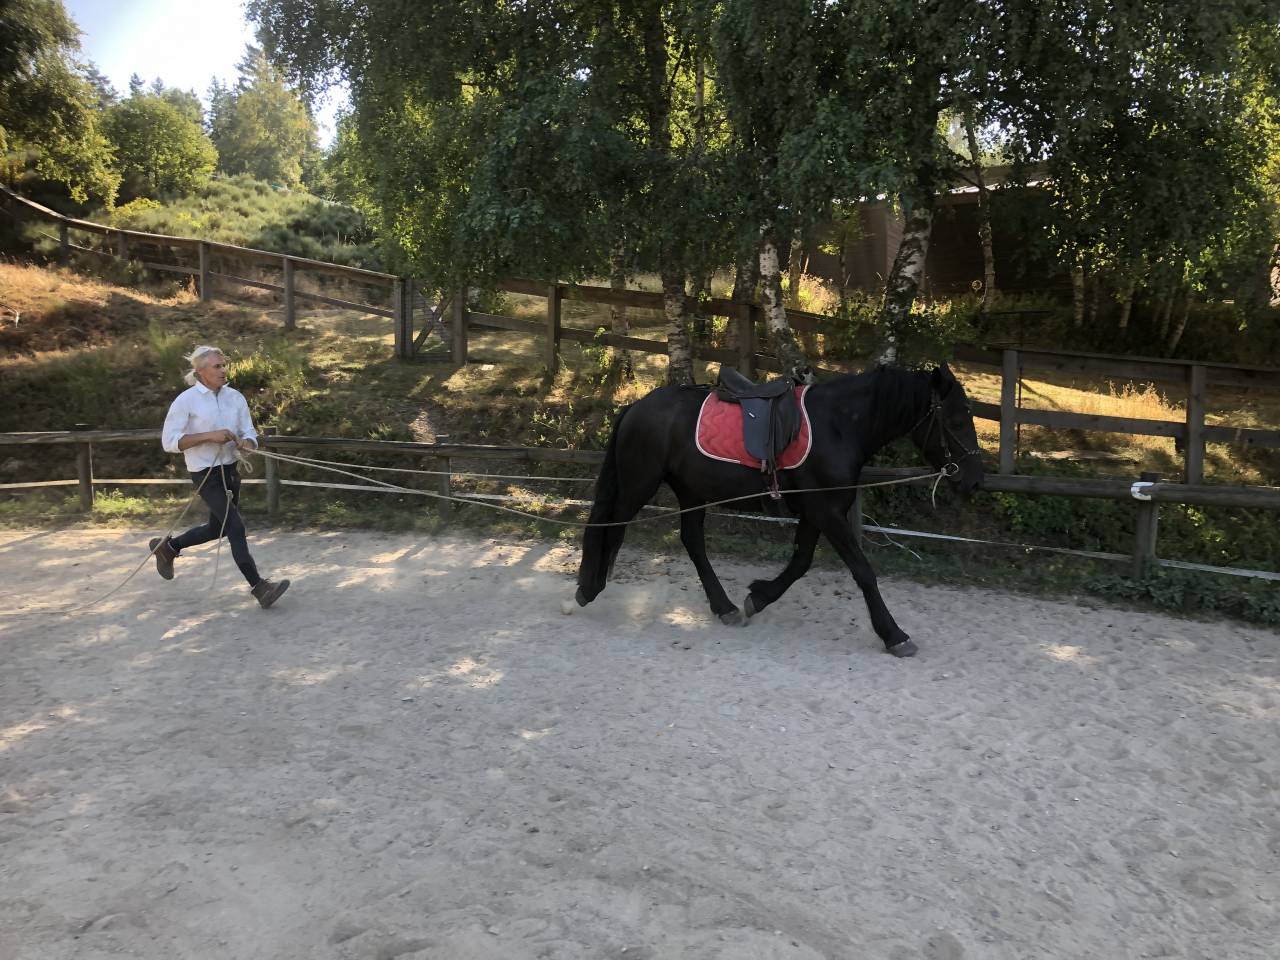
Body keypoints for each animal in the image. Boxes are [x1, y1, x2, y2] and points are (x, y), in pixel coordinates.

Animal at [574, 363, 985, 656]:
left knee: (692, 541)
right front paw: (894, 634)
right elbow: (863, 571)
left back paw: (724, 607)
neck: (838, 425)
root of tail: (635, 406)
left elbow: (800, 562)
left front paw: (758, 597)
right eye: (957, 419)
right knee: (611, 525)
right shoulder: (826, 512)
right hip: (639, 484)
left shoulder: (817, 510)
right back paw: (588, 589)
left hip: (691, 491)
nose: (974, 481)